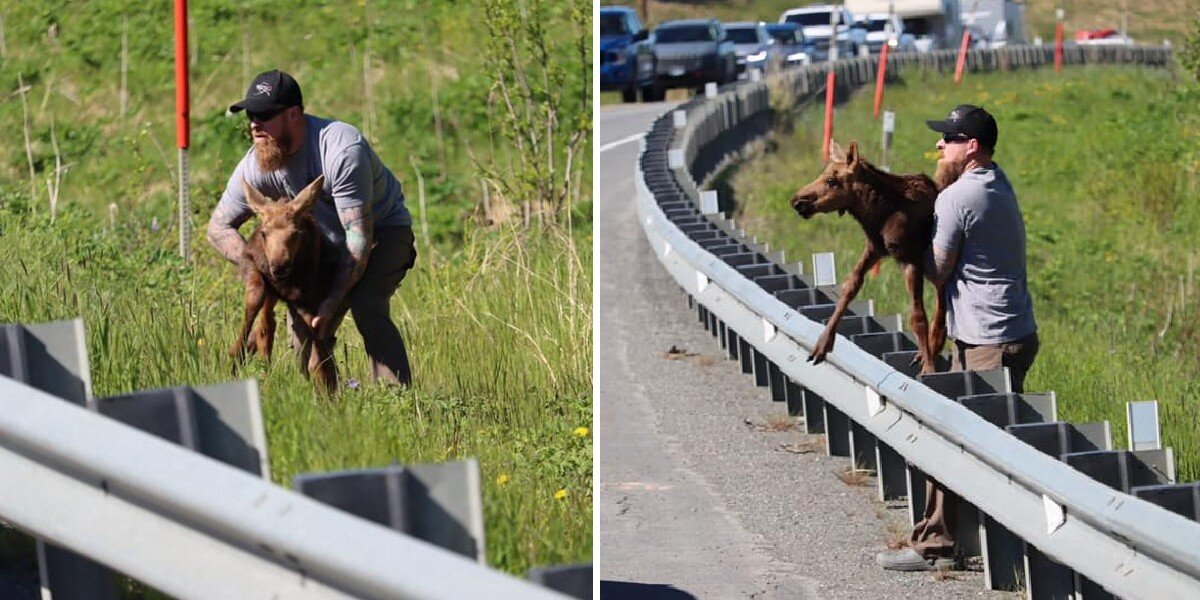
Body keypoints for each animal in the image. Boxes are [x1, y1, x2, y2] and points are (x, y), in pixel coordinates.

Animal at [230, 175, 341, 393]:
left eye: (296, 233)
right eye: (264, 233)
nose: (279, 266)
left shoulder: (308, 295)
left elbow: (315, 336)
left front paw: (324, 385)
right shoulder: (254, 267)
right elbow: (254, 304)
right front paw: (236, 361)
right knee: (265, 324)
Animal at [788, 140, 946, 375]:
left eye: (832, 180)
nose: (797, 201)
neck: (877, 215)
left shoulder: (910, 258)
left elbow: (917, 315)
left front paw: (928, 368)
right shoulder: (873, 249)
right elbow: (850, 286)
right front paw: (821, 345)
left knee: (942, 301)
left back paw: (933, 347)